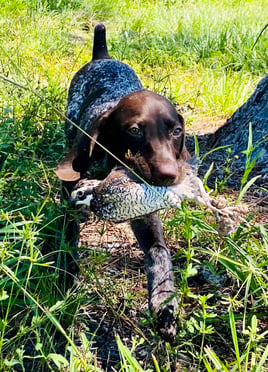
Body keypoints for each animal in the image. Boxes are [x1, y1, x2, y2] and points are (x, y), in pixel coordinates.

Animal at [56, 22, 191, 342]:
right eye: (134, 130)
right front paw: (67, 276)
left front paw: (165, 304)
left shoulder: (145, 215)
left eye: (176, 131)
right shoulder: (68, 199)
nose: (169, 176)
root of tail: (103, 56)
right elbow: (69, 239)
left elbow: (160, 255)